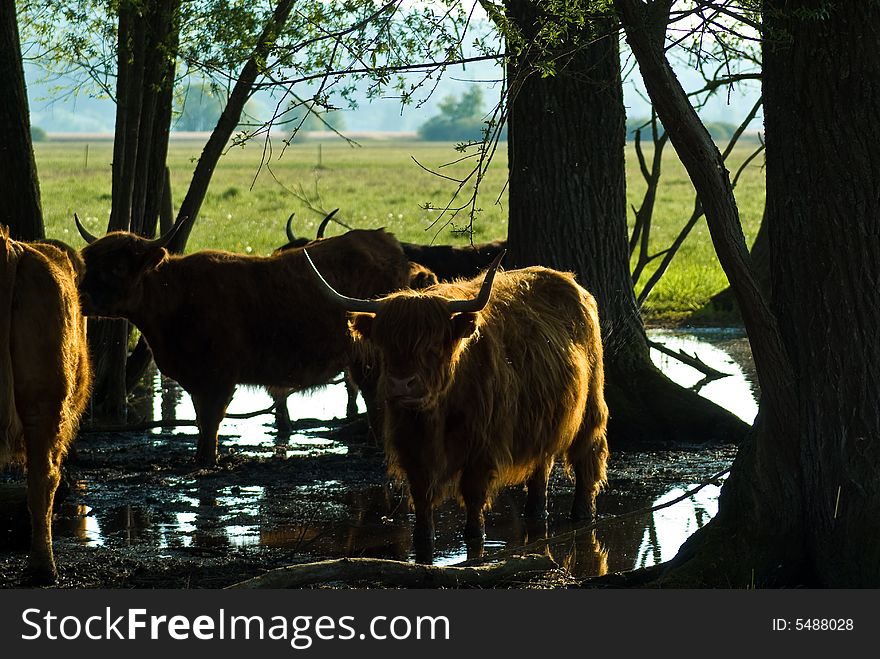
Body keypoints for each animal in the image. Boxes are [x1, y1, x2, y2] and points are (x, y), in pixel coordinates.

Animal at [74, 214, 410, 466]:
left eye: (118, 266)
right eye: (89, 261)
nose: (81, 295)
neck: (176, 297)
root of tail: (384, 240)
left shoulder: (219, 379)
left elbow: (210, 425)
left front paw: (206, 462)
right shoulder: (197, 380)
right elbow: (201, 422)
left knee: (375, 399)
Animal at [306, 249, 608, 564]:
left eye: (432, 346)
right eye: (386, 346)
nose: (402, 384)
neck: (435, 417)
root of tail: (573, 284)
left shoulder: (482, 448)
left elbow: (474, 500)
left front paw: (475, 538)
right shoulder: (411, 449)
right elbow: (422, 501)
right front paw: (423, 541)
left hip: (590, 405)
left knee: (588, 456)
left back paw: (583, 514)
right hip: (543, 420)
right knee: (542, 467)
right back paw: (536, 512)